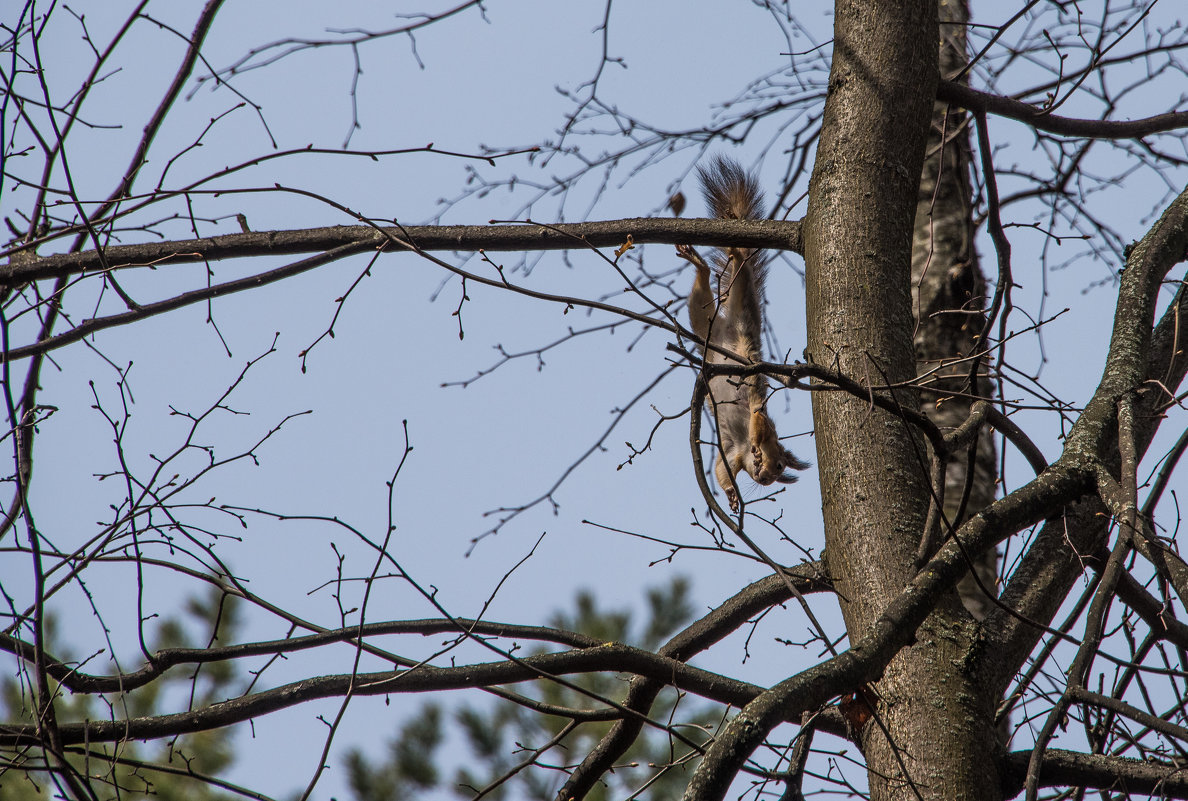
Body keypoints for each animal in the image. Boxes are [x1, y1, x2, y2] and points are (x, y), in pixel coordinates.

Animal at [679, 154, 807, 511]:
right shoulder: (759, 420)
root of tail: (724, 332)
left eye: (777, 477)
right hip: (742, 301)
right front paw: (756, 444)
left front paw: (731, 495)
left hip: (701, 318)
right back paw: (734, 249)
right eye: (778, 464)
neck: (743, 450)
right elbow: (756, 417)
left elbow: (721, 470)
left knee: (700, 297)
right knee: (741, 268)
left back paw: (700, 265)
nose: (763, 477)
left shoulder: (732, 456)